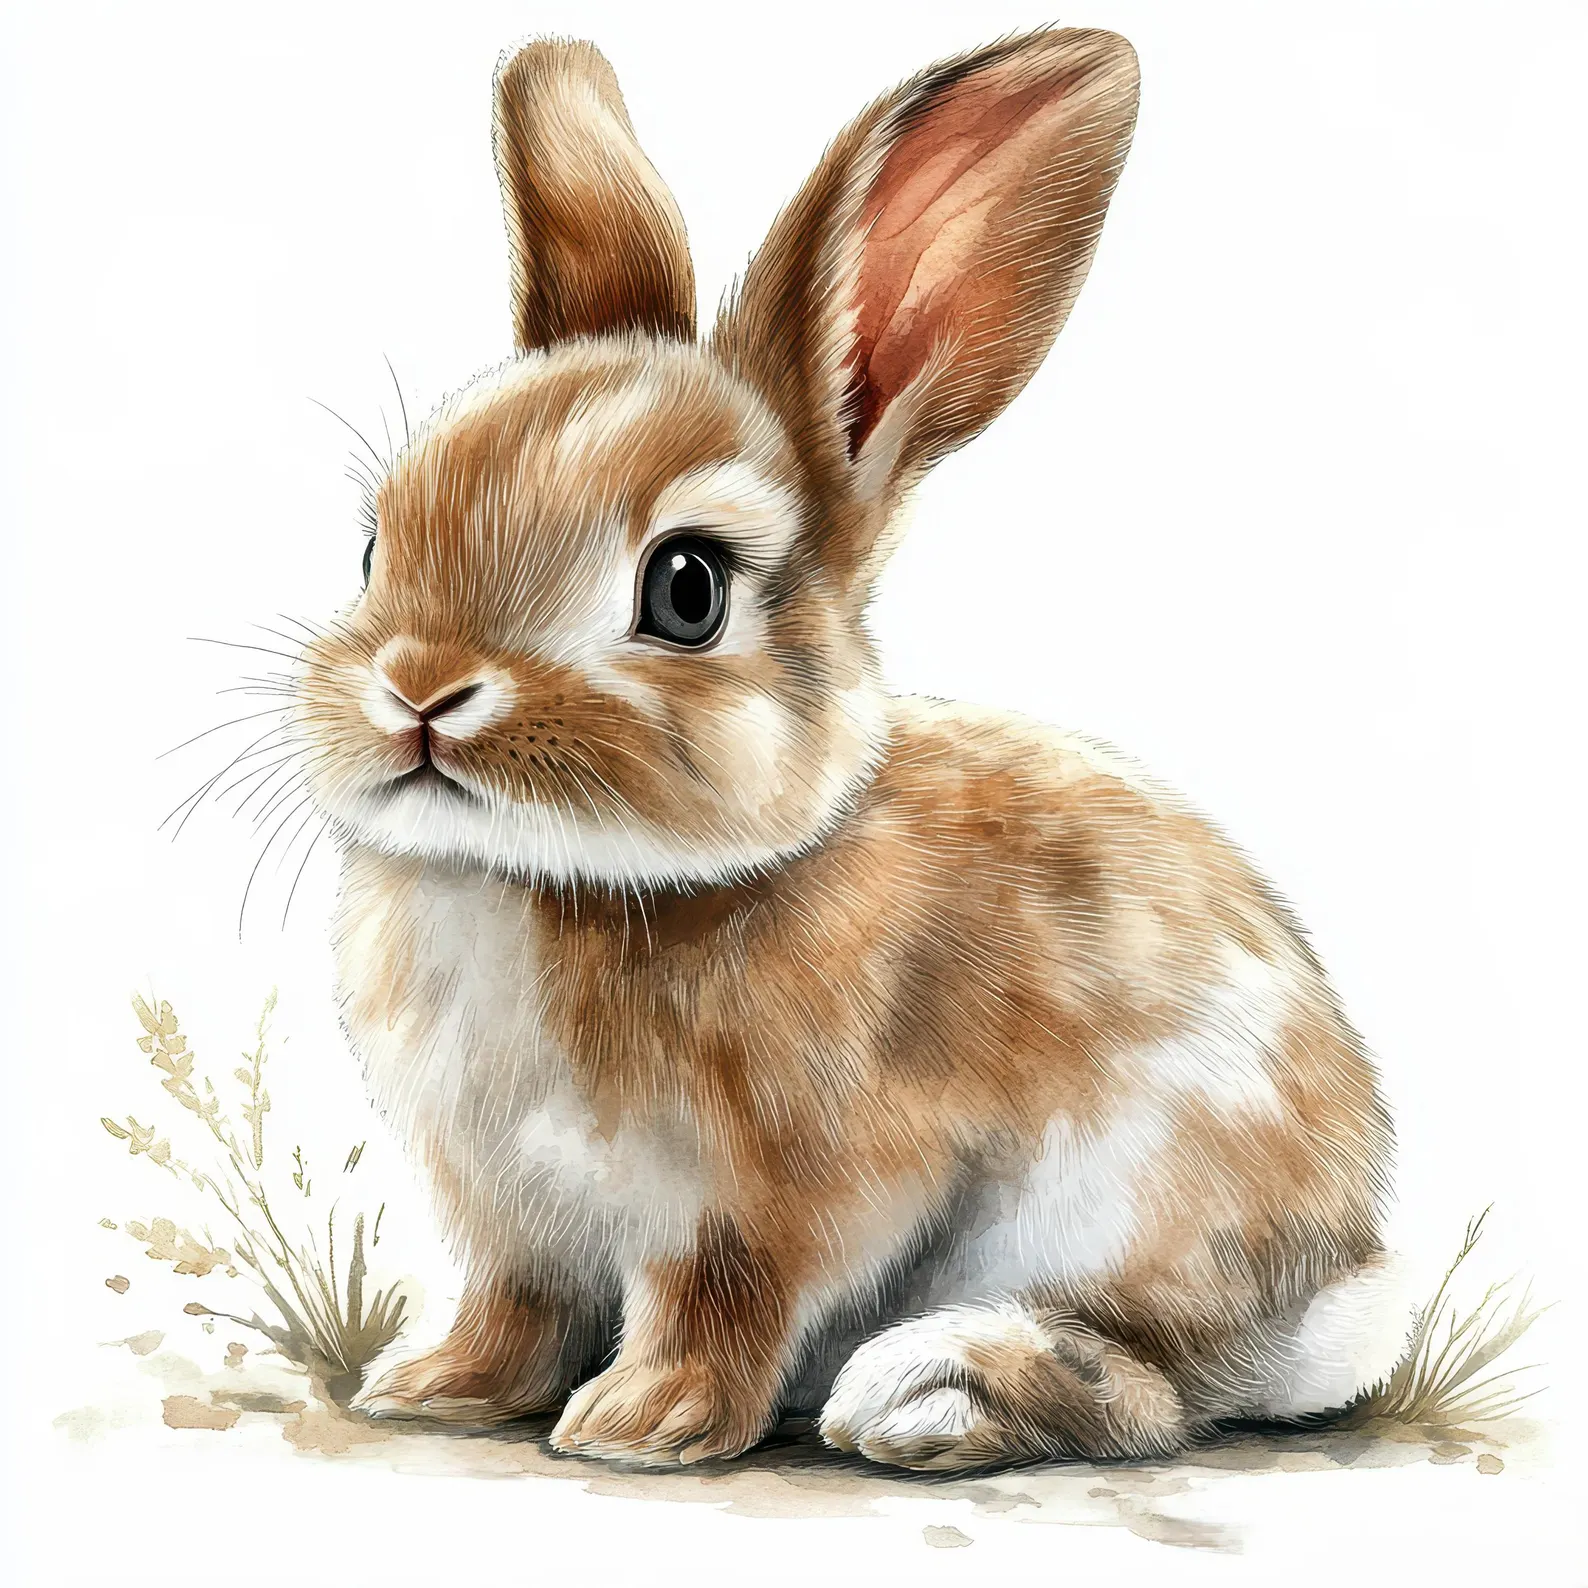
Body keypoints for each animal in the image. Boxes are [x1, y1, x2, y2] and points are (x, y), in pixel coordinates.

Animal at [290, 29, 1414, 1470]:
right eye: (378, 544)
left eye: (687, 590)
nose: (419, 691)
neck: (561, 881)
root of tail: (1345, 1275)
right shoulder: (508, 1219)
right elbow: (515, 1304)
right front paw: (435, 1388)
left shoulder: (772, 1201)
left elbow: (717, 1301)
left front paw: (643, 1423)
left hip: (1132, 1206)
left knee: (1155, 1389)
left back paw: (932, 1392)